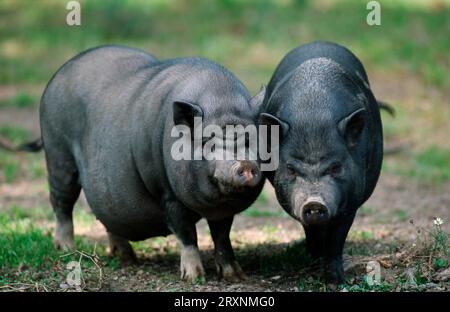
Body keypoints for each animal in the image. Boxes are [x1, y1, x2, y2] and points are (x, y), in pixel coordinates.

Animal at [30, 45, 268, 282]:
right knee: (61, 203)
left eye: (252, 139)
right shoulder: (166, 192)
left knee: (107, 217)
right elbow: (187, 234)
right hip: (58, 154)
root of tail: (58, 74)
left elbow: (222, 237)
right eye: (207, 141)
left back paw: (126, 258)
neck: (221, 101)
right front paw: (193, 278)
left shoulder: (223, 211)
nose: (246, 164)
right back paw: (66, 249)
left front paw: (236, 276)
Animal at [260, 40, 384, 282]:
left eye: (335, 167)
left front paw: (338, 281)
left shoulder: (351, 201)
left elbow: (337, 239)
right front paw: (316, 261)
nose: (314, 203)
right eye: (291, 169)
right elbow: (313, 231)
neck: (313, 117)